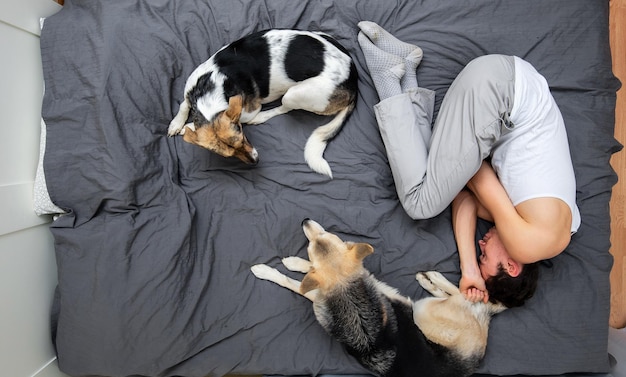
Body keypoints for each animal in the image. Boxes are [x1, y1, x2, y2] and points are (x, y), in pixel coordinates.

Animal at [168, 28, 358, 178]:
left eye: (243, 138)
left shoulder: (249, 109)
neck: (211, 92)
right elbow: (184, 104)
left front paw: (189, 126)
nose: (256, 161)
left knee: (283, 108)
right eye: (228, 156)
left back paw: (262, 117)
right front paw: (177, 124)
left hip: (293, 94)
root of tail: (353, 82)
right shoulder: (191, 88)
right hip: (320, 34)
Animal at [251, 217, 504, 376]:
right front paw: (289, 266)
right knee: (466, 297)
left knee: (472, 295)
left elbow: (299, 282)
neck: (347, 291)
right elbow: (303, 280)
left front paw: (286, 266)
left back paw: (435, 279)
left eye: (326, 233)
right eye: (313, 243)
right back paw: (431, 281)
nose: (305, 220)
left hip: (423, 310)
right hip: (424, 310)